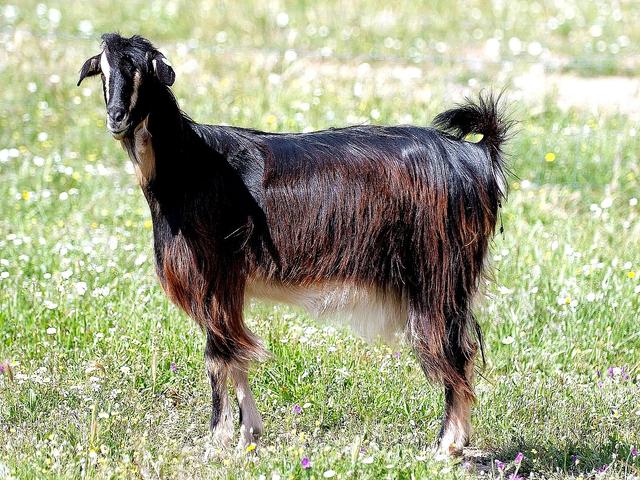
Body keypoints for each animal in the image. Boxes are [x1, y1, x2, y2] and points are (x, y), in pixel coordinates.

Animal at [78, 33, 512, 456]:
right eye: (104, 69)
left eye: (143, 70)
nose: (116, 118)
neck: (190, 165)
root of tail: (476, 155)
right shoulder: (226, 285)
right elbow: (234, 353)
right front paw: (248, 435)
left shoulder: (212, 274)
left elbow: (219, 356)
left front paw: (217, 442)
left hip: (437, 275)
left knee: (453, 353)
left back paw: (446, 447)